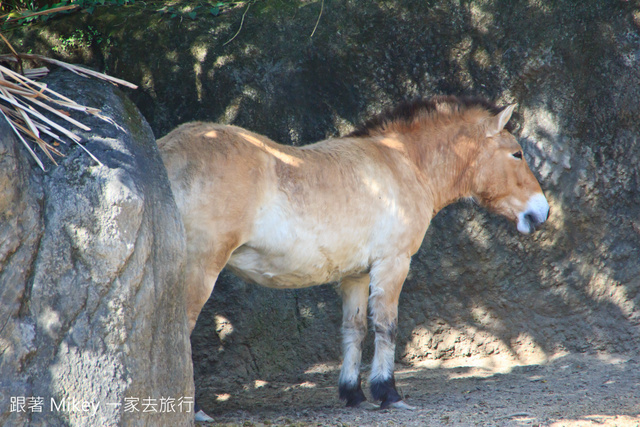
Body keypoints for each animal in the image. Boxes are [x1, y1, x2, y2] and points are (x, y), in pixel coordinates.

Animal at [156, 96, 552, 412]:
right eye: (516, 154)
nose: (542, 212)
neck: (403, 163)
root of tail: (167, 151)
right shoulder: (393, 264)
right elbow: (387, 327)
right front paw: (388, 393)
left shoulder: (356, 275)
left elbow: (355, 330)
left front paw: (353, 394)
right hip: (202, 269)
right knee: (180, 329)